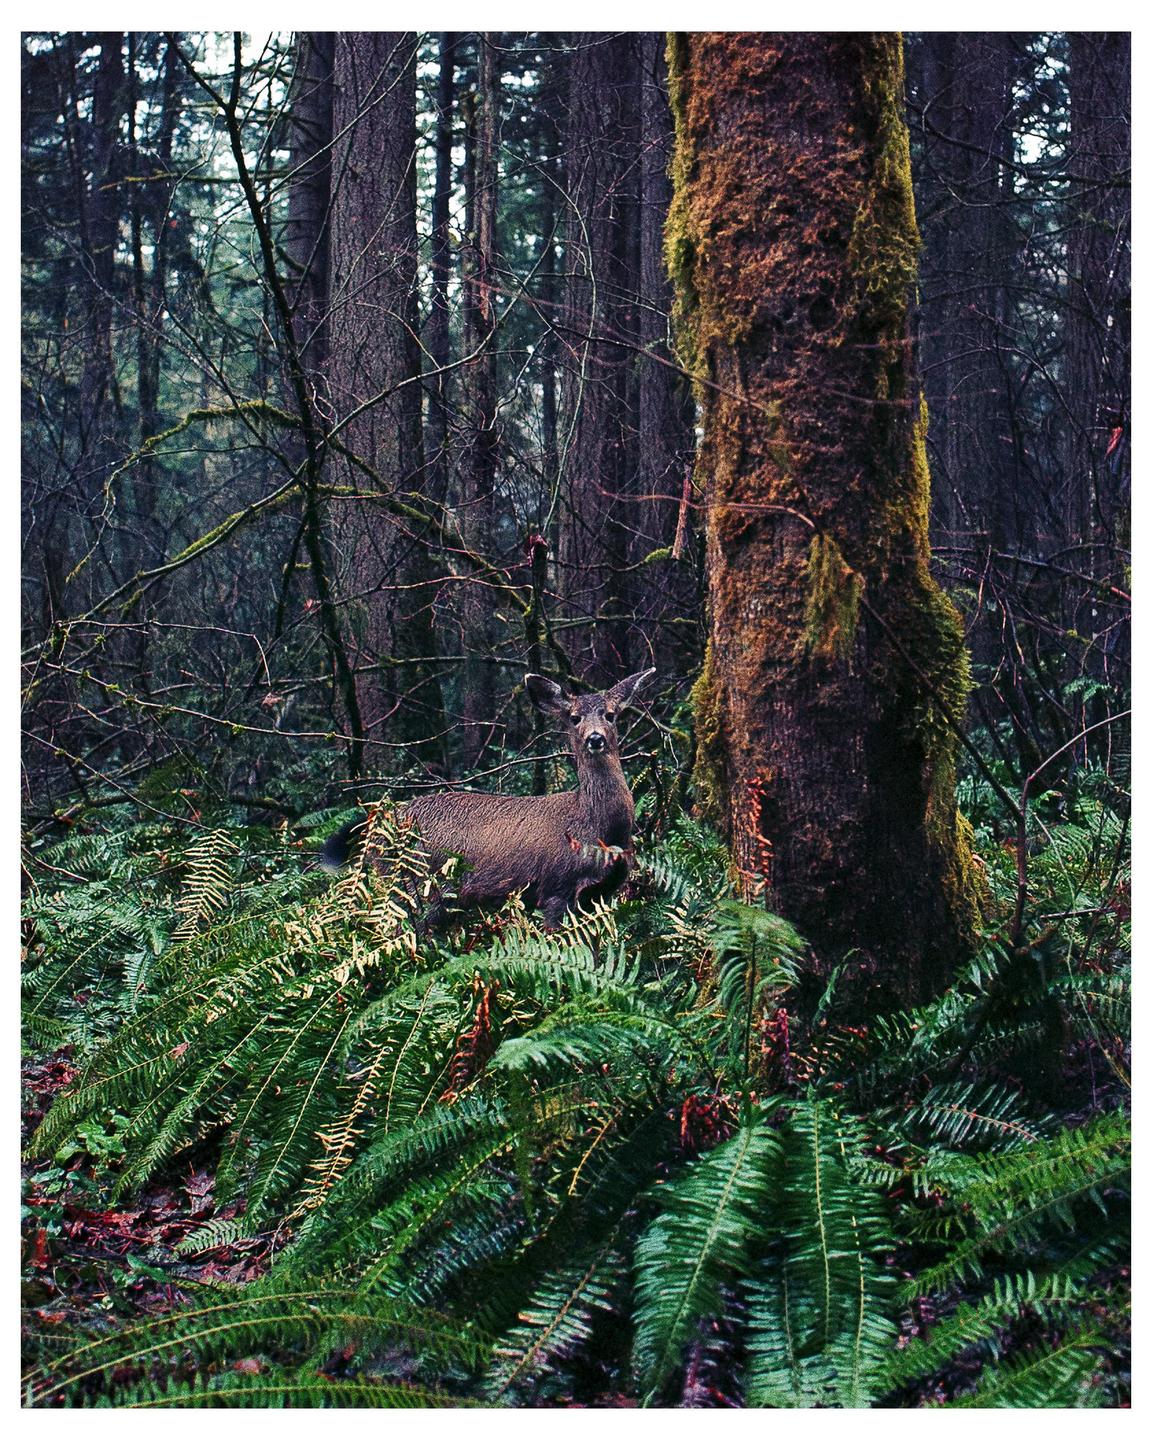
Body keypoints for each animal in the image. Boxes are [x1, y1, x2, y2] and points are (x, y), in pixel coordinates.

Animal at [320, 668, 656, 929]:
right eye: (574, 718)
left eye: (610, 715)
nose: (594, 738)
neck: (595, 828)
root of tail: (378, 822)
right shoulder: (555, 888)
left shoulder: (601, 893)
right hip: (409, 886)